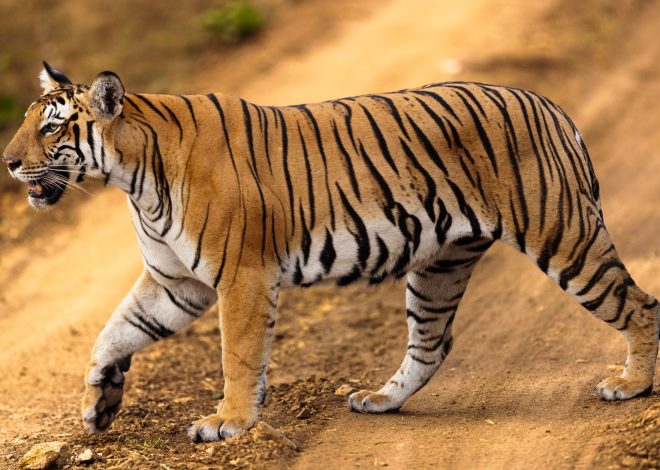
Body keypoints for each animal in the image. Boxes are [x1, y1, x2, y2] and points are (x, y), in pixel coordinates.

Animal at [2, 62, 658, 442]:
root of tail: (550, 105)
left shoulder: (240, 276)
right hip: (440, 266)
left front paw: (229, 422)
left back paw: (631, 386)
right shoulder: (173, 282)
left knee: (639, 304)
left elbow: (239, 355)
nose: (7, 162)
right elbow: (112, 333)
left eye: (52, 128)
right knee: (432, 344)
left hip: (564, 236)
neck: (132, 176)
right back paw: (380, 401)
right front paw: (98, 405)